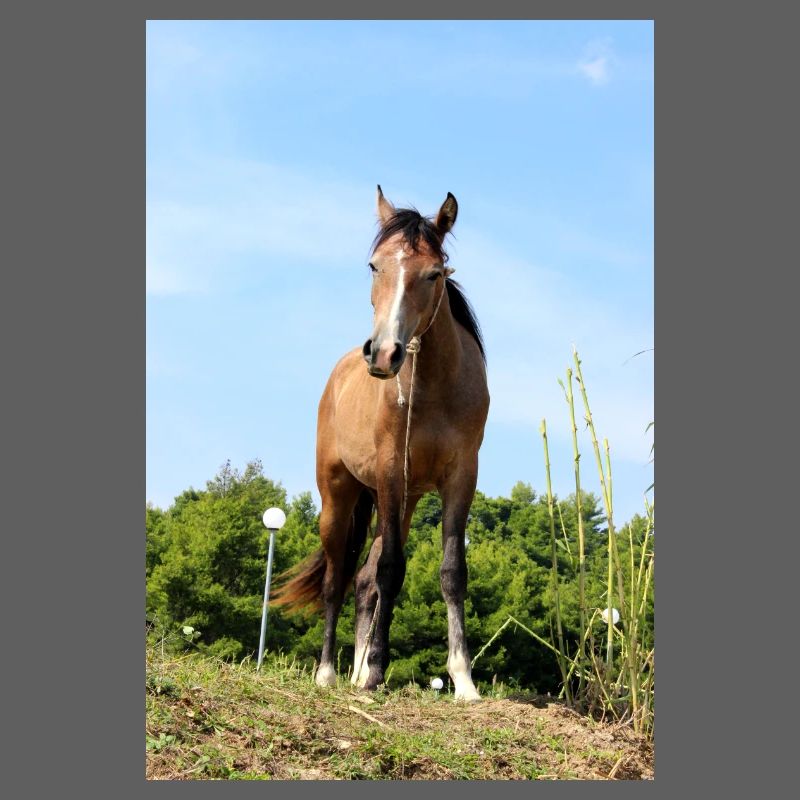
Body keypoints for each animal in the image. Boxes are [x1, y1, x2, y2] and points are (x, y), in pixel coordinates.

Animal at [272, 186, 489, 702]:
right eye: (374, 266)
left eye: (434, 273)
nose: (384, 353)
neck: (433, 387)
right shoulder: (391, 472)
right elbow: (391, 570)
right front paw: (374, 673)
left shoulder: (460, 477)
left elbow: (451, 572)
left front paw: (463, 679)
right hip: (340, 497)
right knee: (338, 581)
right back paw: (330, 673)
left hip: (402, 502)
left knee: (363, 580)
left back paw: (353, 670)